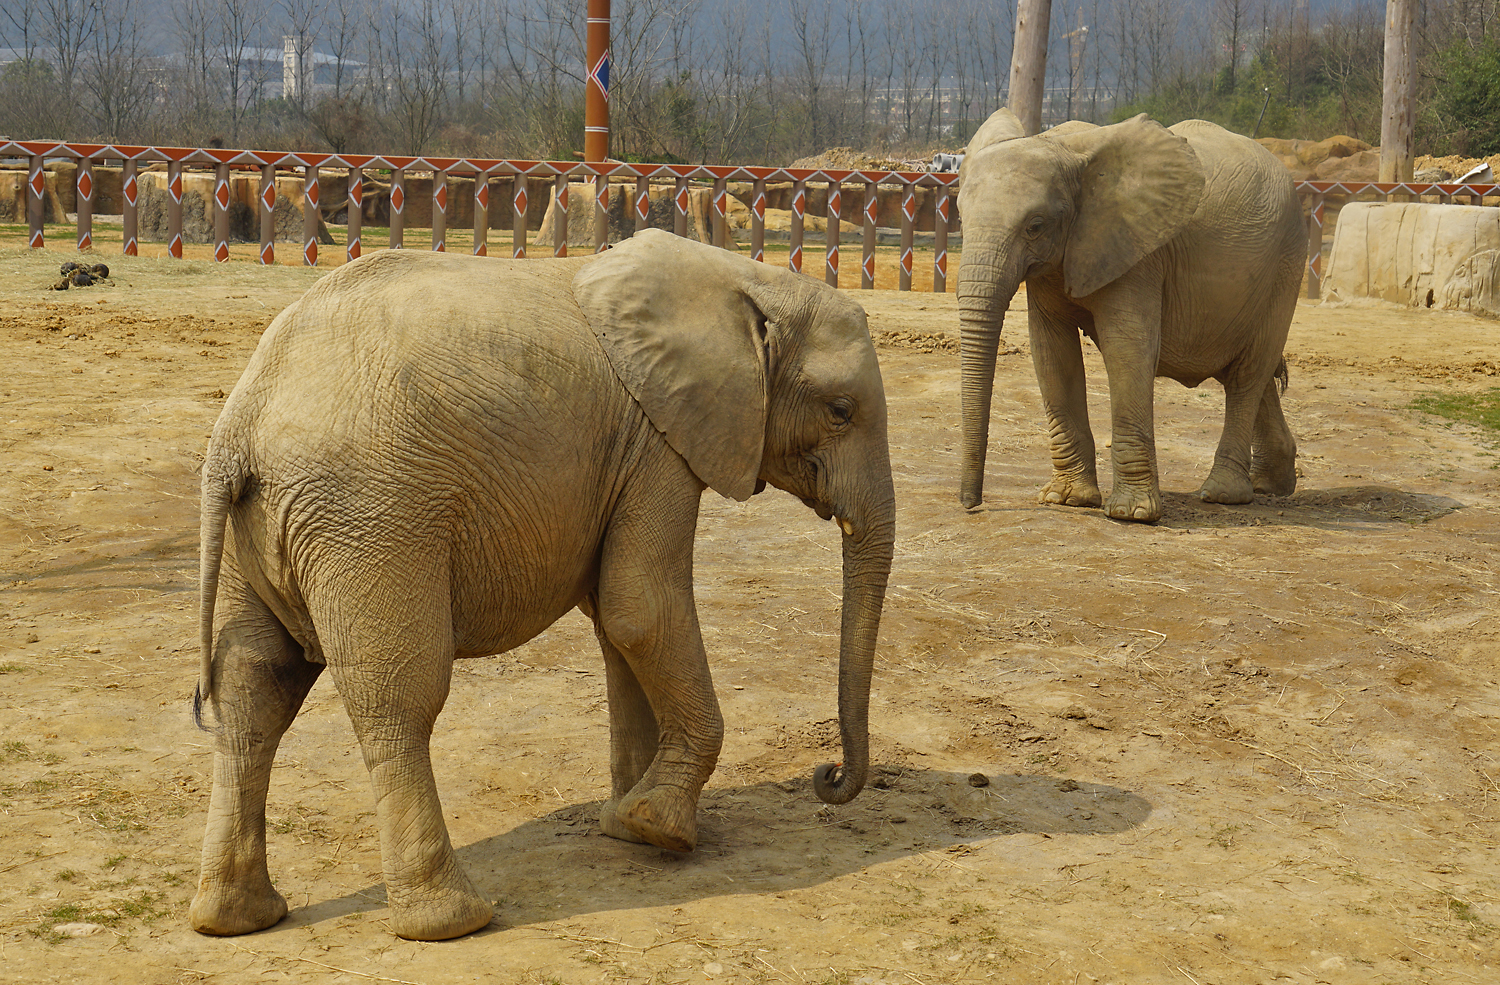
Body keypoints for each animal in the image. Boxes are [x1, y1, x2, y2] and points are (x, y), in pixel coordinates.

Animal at [187, 229, 895, 941]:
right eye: (840, 411)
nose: (829, 774)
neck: (748, 280)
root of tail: (238, 429)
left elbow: (617, 622)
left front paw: (628, 824)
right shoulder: (657, 446)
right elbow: (641, 607)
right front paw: (661, 830)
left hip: (268, 527)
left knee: (254, 687)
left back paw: (236, 918)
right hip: (369, 520)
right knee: (398, 699)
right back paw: (452, 920)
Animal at [956, 108, 1306, 522]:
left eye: (1035, 226)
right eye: (959, 217)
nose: (971, 505)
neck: (1061, 147)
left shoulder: (1138, 251)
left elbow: (1128, 349)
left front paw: (1132, 514)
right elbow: (1052, 354)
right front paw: (1065, 499)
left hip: (1286, 265)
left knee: (1247, 375)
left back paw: (1223, 494)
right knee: (1254, 372)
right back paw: (1269, 486)